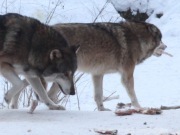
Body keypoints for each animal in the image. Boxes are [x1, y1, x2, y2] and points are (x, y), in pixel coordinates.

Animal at [8, 20, 166, 109]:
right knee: (41, 91)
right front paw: (140, 108)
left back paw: (14, 105)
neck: (137, 39)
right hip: (56, 77)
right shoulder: (126, 76)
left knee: (29, 84)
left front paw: (102, 110)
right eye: (160, 39)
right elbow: (133, 96)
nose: (166, 47)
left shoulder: (97, 74)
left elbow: (98, 96)